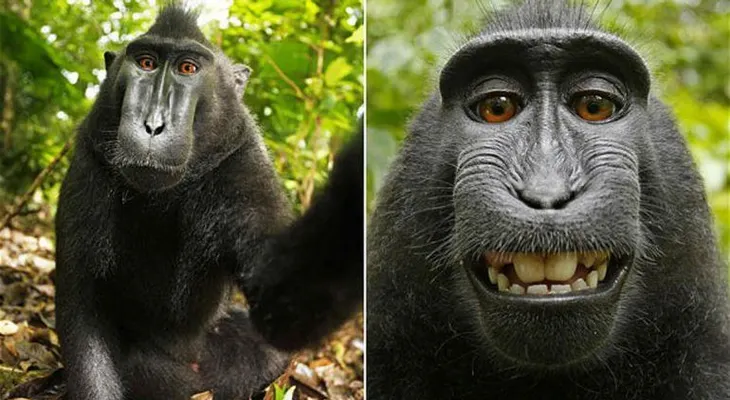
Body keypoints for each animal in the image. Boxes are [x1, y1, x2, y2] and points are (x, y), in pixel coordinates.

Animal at [54, 5, 362, 400]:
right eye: (146, 63)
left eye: (188, 68)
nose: (153, 125)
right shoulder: (89, 161)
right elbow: (82, 309)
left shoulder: (243, 164)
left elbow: (284, 305)